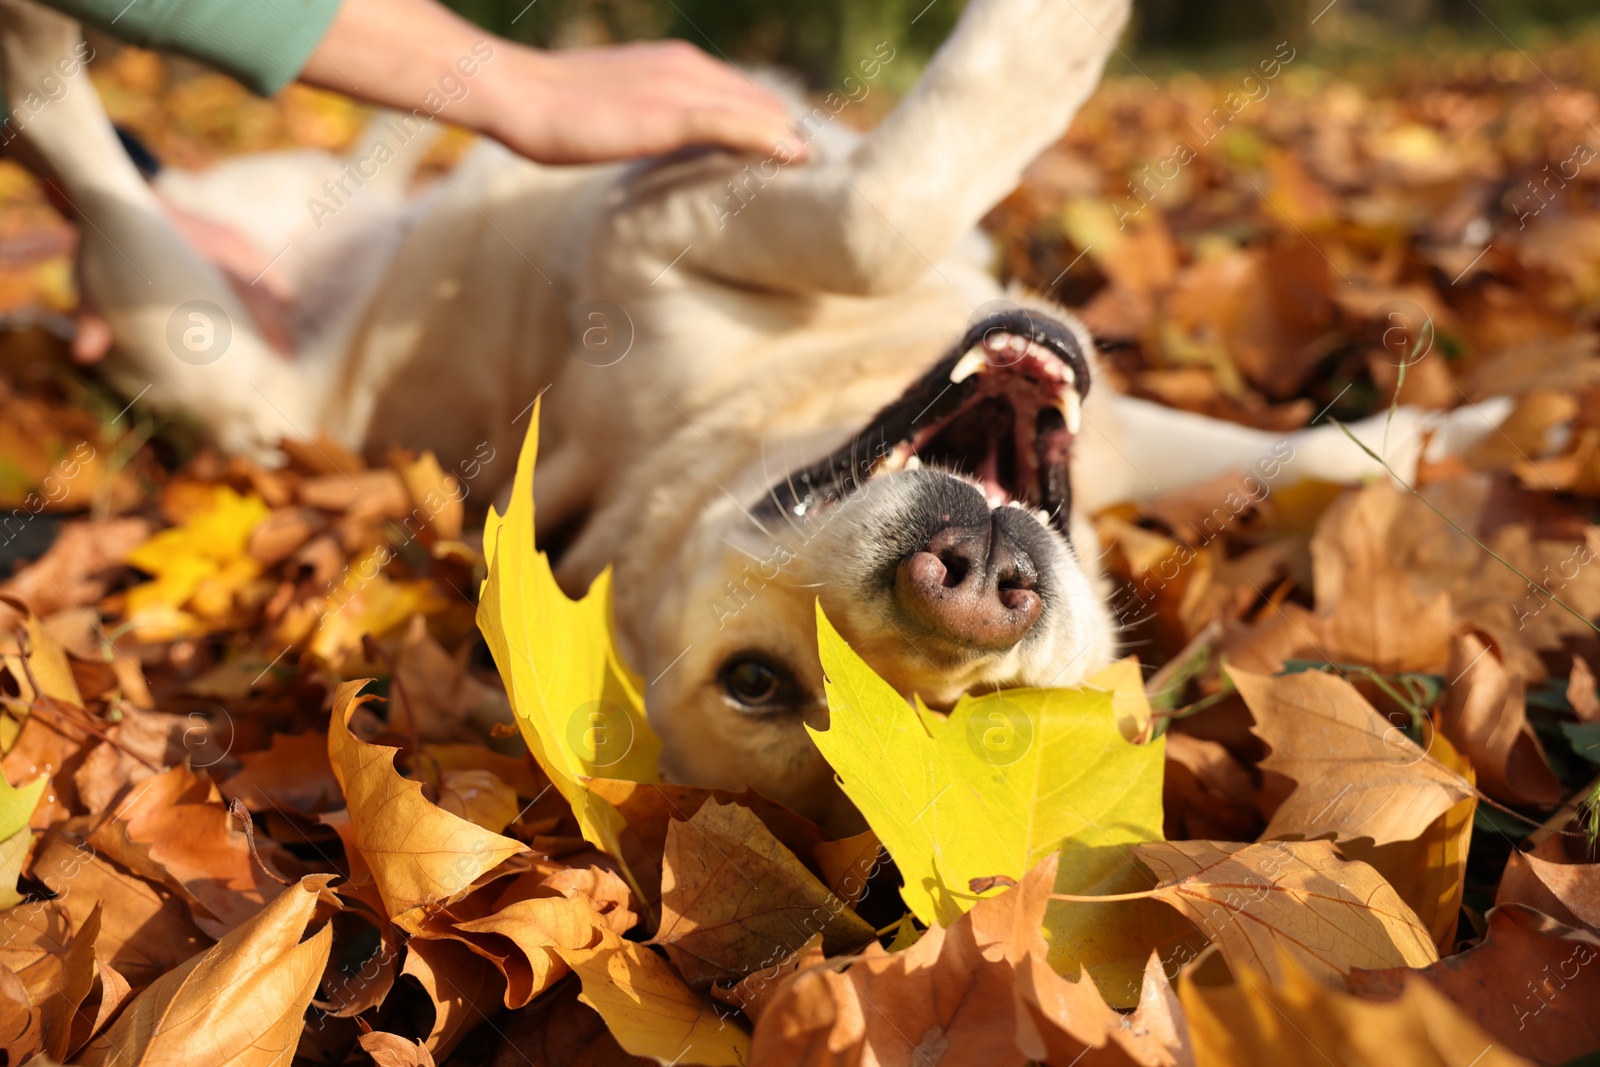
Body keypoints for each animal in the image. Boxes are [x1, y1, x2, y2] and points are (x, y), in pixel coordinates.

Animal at [0, 0, 1497, 831]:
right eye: (762, 683)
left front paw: (1456, 434)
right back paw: (41, 48)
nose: (972, 584)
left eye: (1002, 723)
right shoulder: (658, 227)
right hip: (188, 332)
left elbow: (1304, 459)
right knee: (79, 140)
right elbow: (881, 202)